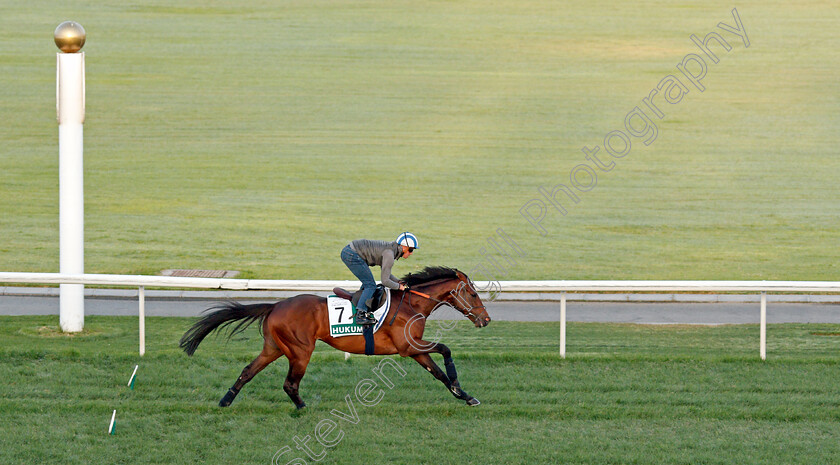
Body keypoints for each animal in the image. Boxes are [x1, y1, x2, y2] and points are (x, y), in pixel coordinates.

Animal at [179, 266, 492, 408]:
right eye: (473, 294)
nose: (486, 319)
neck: (412, 304)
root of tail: (276, 305)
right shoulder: (408, 346)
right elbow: (446, 351)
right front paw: (461, 390)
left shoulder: (414, 350)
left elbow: (437, 372)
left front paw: (464, 395)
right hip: (300, 350)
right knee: (289, 383)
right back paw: (303, 408)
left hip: (274, 348)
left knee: (248, 371)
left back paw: (226, 401)